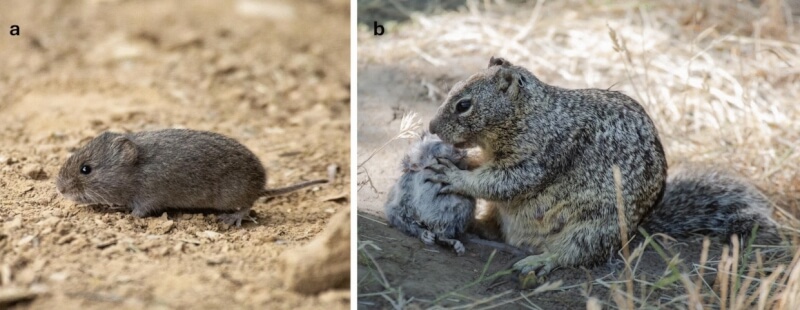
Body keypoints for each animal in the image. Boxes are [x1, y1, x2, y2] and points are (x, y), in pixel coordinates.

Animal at [428, 57, 780, 280]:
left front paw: (455, 176)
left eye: (463, 105)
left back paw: (539, 261)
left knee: (573, 254)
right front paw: (463, 161)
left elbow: (503, 182)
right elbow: (486, 170)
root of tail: (636, 230)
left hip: (593, 228)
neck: (532, 114)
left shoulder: (540, 156)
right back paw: (473, 227)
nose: (431, 127)